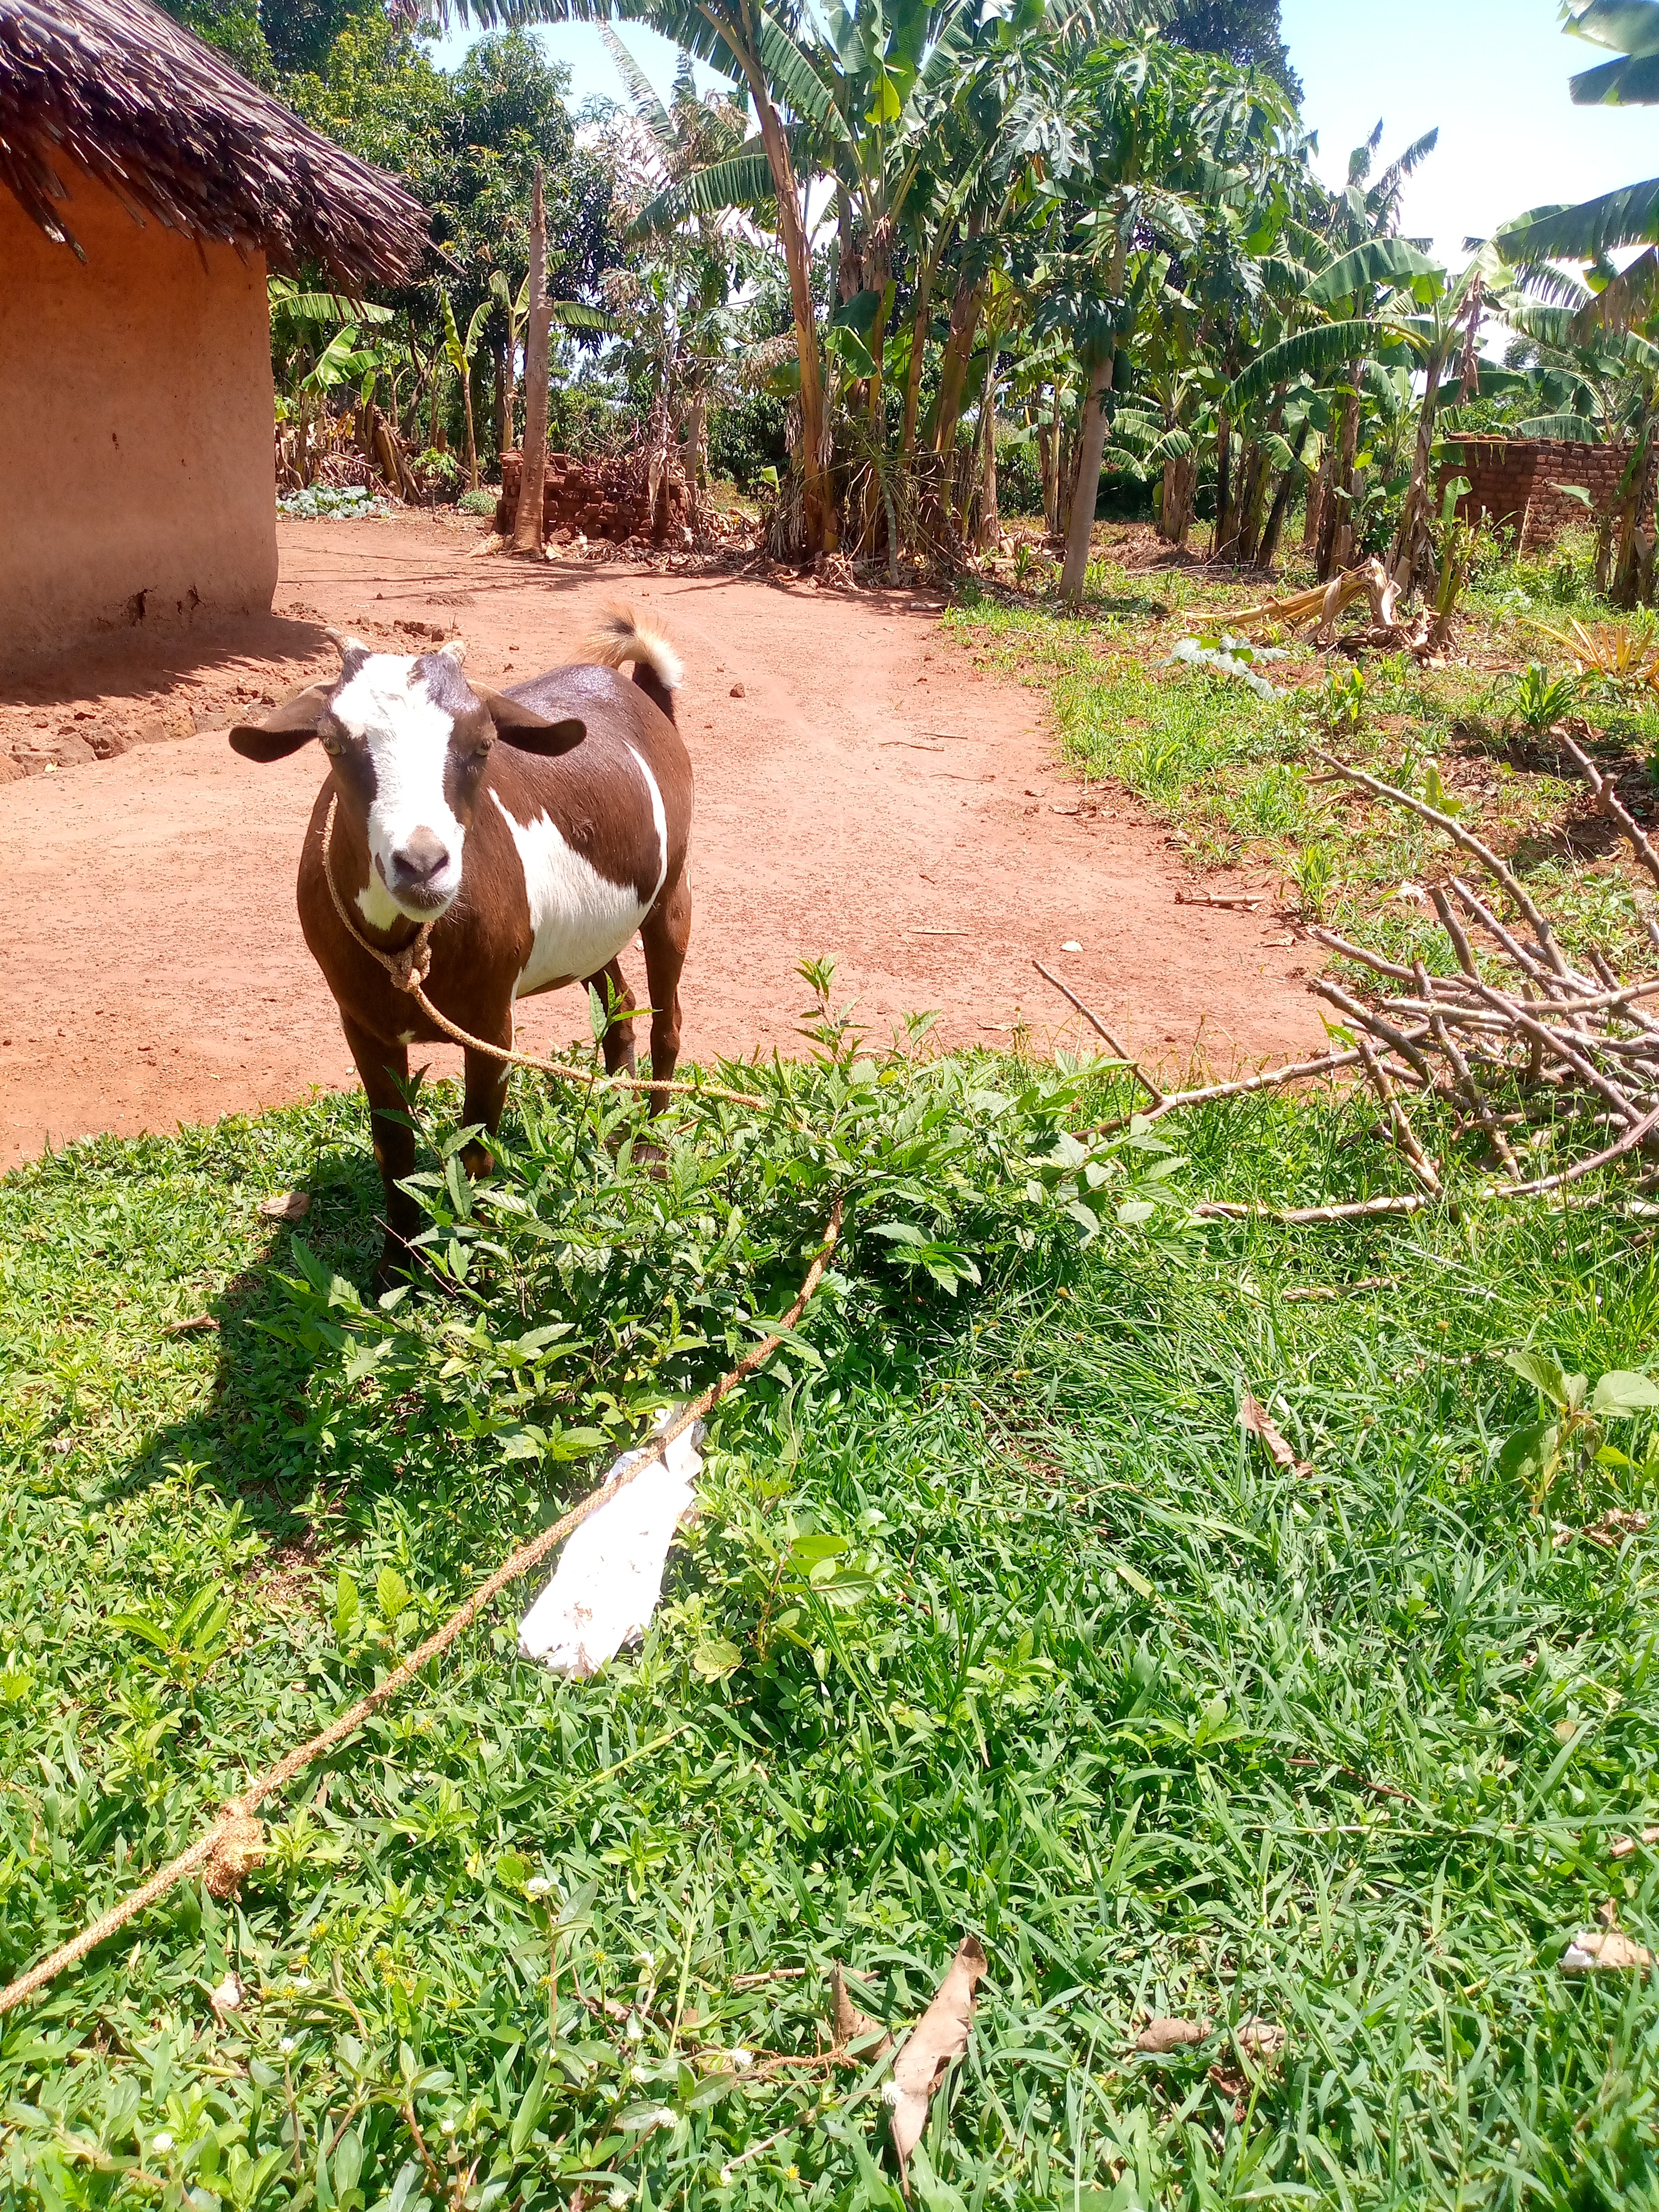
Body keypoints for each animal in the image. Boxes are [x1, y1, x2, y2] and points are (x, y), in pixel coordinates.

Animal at [230, 607, 692, 1288]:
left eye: (482, 744)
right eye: (333, 743)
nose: (422, 864)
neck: (407, 946)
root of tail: (642, 693)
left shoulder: (491, 1018)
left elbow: (475, 1149)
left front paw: (465, 1267)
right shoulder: (360, 1021)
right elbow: (393, 1147)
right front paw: (396, 1269)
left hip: (673, 889)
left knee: (667, 1013)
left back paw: (653, 1147)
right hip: (590, 935)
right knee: (619, 1002)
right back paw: (614, 1122)